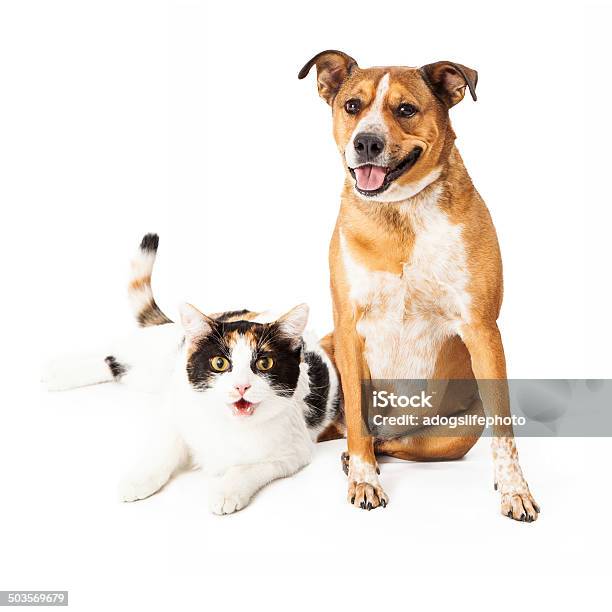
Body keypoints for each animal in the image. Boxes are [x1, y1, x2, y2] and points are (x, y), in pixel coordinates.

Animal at [44, 233, 344, 512]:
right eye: (220, 364)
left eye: (264, 364)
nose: (241, 386)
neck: (229, 426)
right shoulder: (179, 412)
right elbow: (163, 448)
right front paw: (139, 479)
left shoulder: (293, 451)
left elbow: (248, 467)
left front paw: (226, 492)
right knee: (114, 356)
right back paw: (56, 374)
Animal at [300, 51, 540, 520]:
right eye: (352, 106)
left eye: (406, 109)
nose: (367, 142)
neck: (401, 212)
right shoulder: (348, 326)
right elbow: (357, 422)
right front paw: (365, 481)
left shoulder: (481, 328)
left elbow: (505, 429)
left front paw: (514, 490)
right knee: (355, 429)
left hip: (457, 430)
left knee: (395, 442)